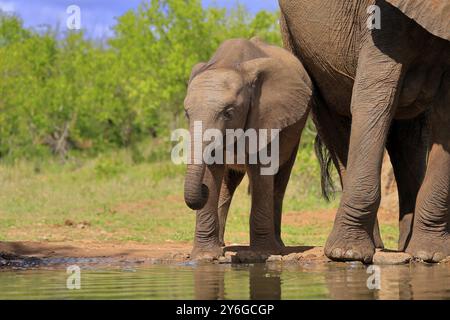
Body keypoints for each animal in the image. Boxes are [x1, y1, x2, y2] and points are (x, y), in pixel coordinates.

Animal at [183, 37, 312, 260]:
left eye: (228, 113)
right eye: (186, 114)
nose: (202, 190)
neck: (229, 63)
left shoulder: (265, 115)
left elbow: (261, 171)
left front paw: (261, 255)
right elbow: (212, 170)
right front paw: (206, 257)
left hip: (297, 130)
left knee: (280, 182)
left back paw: (279, 246)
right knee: (228, 186)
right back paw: (222, 244)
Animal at [280, 0, 448, 262]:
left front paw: (431, 255)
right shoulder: (384, 20)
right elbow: (373, 100)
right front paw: (347, 254)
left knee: (409, 139)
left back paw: (406, 247)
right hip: (295, 39)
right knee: (334, 125)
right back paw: (367, 248)